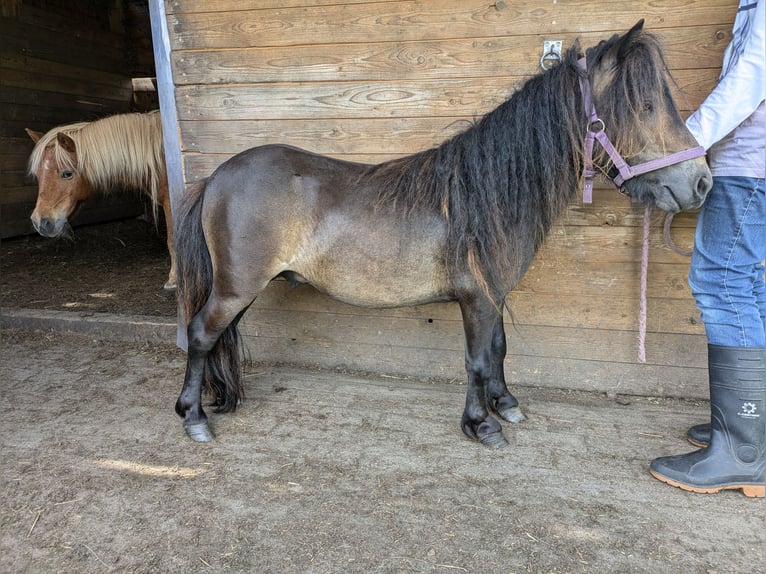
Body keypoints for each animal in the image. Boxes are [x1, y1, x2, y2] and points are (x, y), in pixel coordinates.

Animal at [25, 111, 177, 292]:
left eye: (67, 173)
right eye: (38, 175)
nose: (40, 222)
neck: (160, 156)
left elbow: (172, 240)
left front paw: (173, 279)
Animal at [174, 21, 712, 446]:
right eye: (645, 105)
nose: (701, 182)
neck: (488, 191)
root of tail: (217, 177)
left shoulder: (493, 295)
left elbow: (498, 350)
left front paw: (505, 404)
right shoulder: (475, 298)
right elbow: (476, 360)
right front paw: (482, 425)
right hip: (235, 288)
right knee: (200, 335)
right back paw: (194, 417)